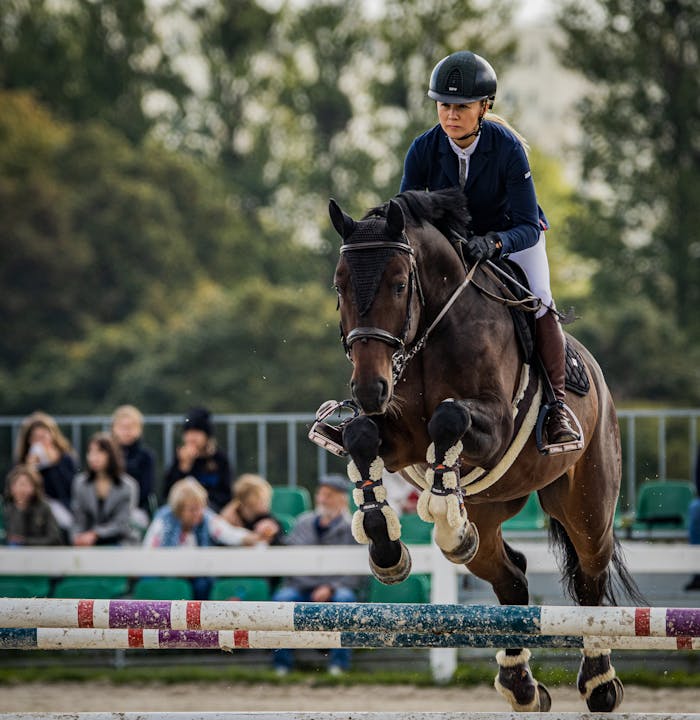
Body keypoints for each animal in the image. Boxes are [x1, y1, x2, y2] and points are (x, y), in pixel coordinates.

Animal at [318, 187, 642, 713]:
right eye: (339, 286)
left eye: (399, 284)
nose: (368, 388)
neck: (428, 335)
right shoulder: (400, 437)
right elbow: (361, 436)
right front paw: (388, 549)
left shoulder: (494, 427)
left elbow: (450, 418)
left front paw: (441, 511)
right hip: (493, 509)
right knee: (510, 576)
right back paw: (520, 682)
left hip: (587, 505)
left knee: (590, 576)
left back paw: (599, 683)